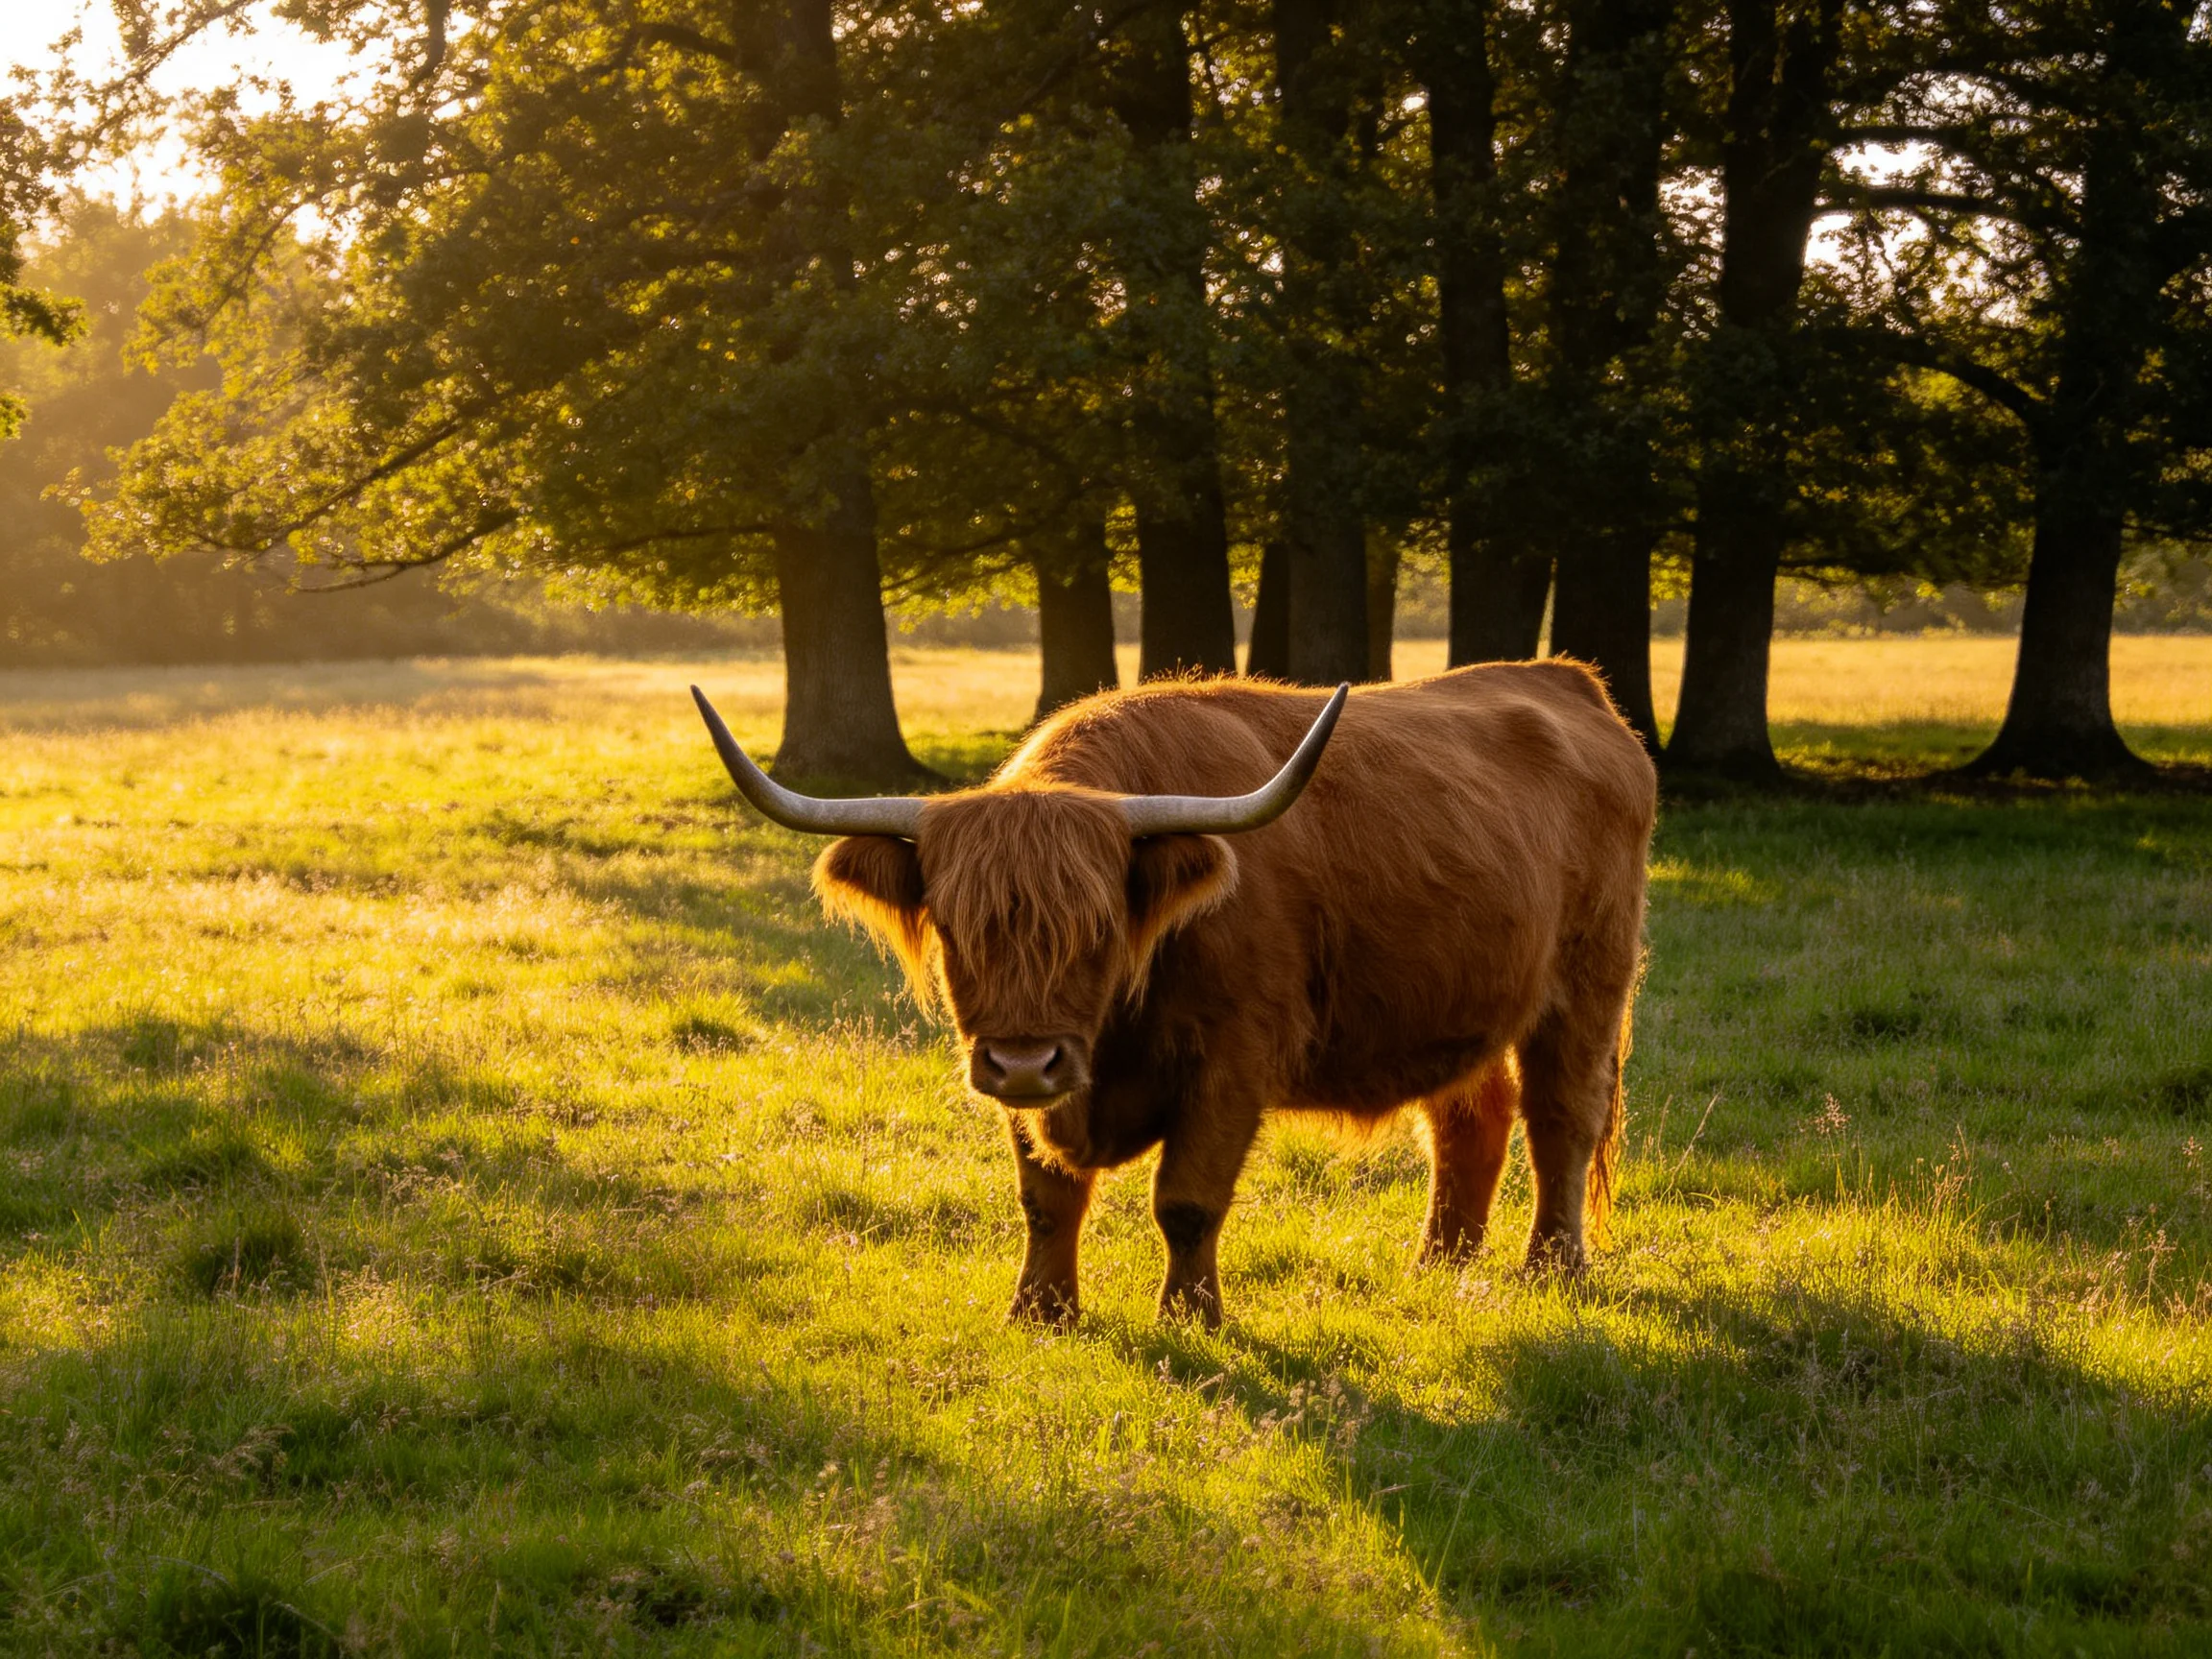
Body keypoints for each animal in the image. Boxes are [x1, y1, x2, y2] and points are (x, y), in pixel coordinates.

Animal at [692, 661, 1657, 1327]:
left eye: (1098, 927)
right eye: (958, 928)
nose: (1025, 1061)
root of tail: (1565, 680)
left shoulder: (1232, 1061)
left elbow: (1186, 1201)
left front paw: (1191, 1319)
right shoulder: (1022, 1081)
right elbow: (1046, 1200)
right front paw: (1041, 1313)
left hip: (1587, 983)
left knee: (1562, 1118)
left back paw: (1552, 1268)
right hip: (1461, 999)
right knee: (1469, 1121)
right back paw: (1440, 1266)